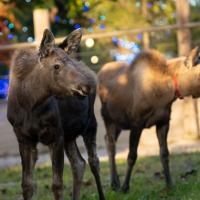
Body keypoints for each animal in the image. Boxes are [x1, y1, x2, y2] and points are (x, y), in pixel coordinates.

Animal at [6, 28, 104, 200]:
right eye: (56, 66)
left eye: (70, 61)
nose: (86, 86)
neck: (30, 104)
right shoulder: (24, 139)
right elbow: (27, 186)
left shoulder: (56, 135)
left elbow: (57, 185)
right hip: (69, 135)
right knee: (79, 163)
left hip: (90, 124)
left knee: (94, 161)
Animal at [97, 47, 200, 192]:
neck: (167, 93)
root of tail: (99, 73)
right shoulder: (136, 124)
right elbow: (132, 156)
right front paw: (125, 187)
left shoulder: (163, 122)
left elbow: (164, 154)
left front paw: (170, 184)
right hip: (108, 118)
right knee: (111, 145)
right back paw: (115, 183)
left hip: (119, 122)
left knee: (107, 140)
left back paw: (115, 181)